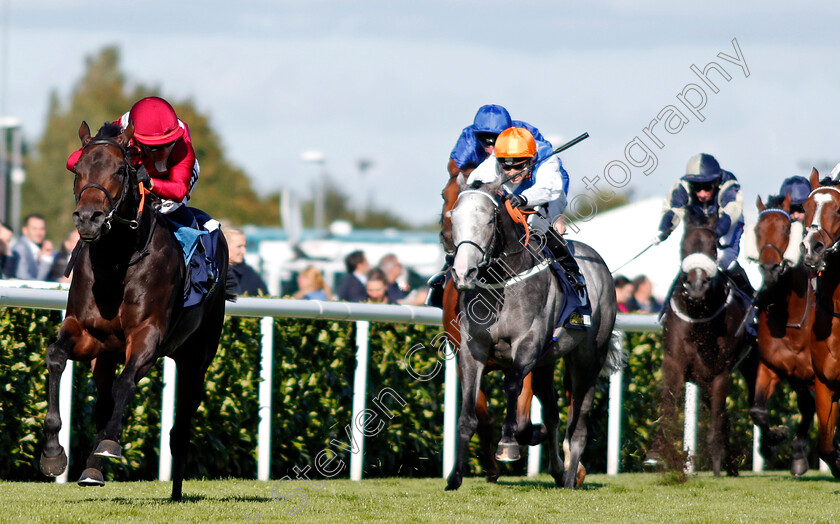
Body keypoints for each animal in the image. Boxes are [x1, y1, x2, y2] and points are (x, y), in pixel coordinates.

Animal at [38, 121, 230, 502]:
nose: (89, 218)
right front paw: (53, 453)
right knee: (103, 402)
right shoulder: (84, 331)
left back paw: (175, 491)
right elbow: (55, 356)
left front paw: (109, 444)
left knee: (180, 428)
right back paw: (92, 469)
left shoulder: (147, 336)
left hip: (196, 359)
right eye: (77, 169)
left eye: (119, 170)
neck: (116, 261)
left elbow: (126, 383)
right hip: (106, 355)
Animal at [442, 176, 620, 492]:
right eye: (454, 216)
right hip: (547, 363)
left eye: (489, 220)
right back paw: (559, 470)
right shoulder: (472, 350)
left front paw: (509, 443)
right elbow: (469, 413)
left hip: (588, 358)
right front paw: (455, 476)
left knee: (579, 418)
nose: (463, 273)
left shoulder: (527, 345)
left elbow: (513, 385)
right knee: (553, 412)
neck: (502, 282)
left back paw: (571, 476)